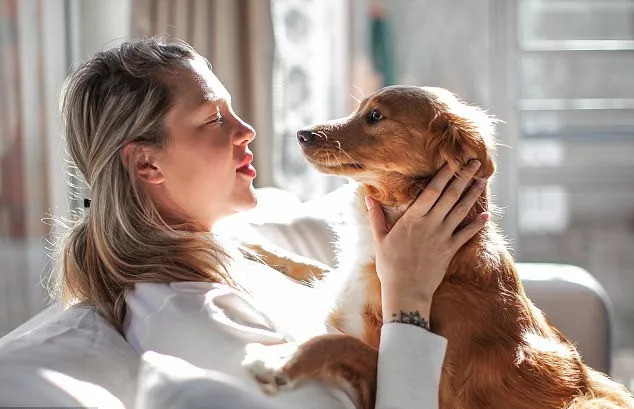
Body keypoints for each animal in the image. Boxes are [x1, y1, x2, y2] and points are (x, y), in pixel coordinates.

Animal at [242, 86, 632, 408]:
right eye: (361, 110)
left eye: (375, 116)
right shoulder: (346, 278)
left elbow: (339, 342)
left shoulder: (438, 390)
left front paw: (279, 361)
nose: (301, 133)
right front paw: (246, 242)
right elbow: (307, 263)